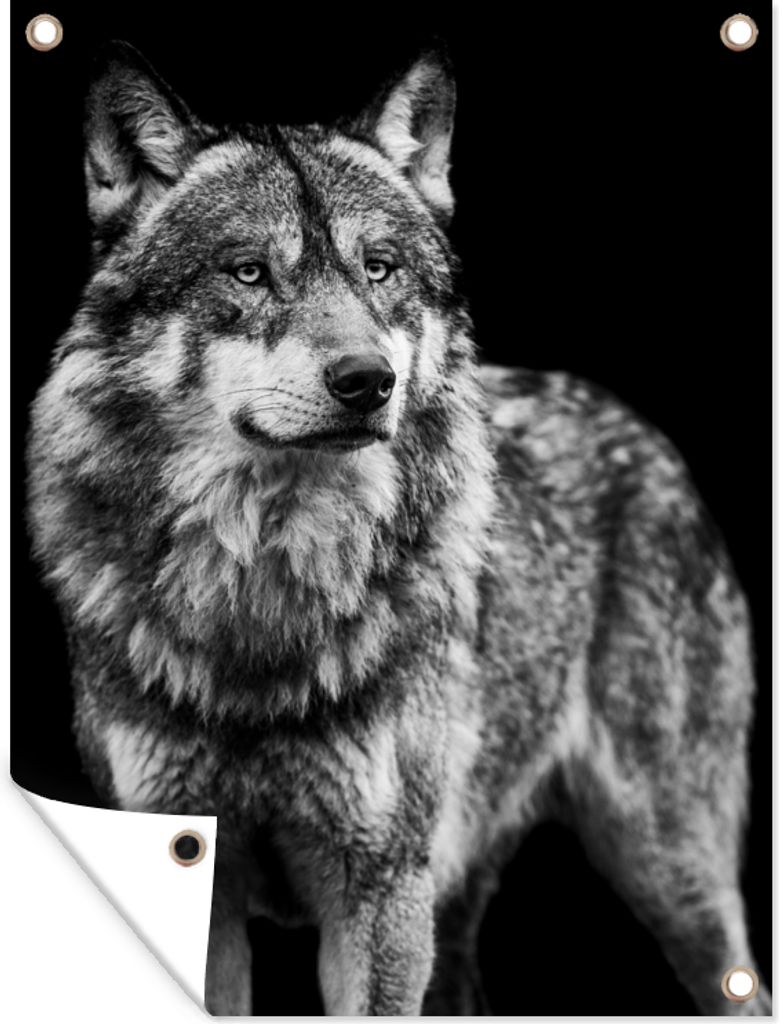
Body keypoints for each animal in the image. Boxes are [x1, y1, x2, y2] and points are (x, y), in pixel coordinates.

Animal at [25, 39, 769, 1016]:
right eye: (248, 272)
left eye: (377, 268)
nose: (366, 380)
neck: (265, 597)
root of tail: (639, 430)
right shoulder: (201, 882)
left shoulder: (378, 893)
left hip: (666, 867)